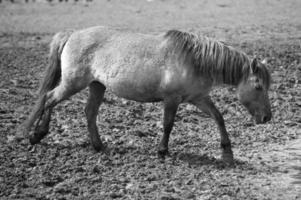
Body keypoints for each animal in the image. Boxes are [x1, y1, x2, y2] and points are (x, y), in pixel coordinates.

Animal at [19, 26, 270, 163]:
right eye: (259, 86)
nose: (267, 117)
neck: (194, 60)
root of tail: (72, 34)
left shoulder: (198, 98)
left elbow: (219, 117)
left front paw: (227, 152)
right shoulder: (172, 100)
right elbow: (168, 125)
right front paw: (162, 151)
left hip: (96, 85)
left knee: (89, 112)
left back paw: (98, 146)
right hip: (73, 83)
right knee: (49, 99)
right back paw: (37, 135)